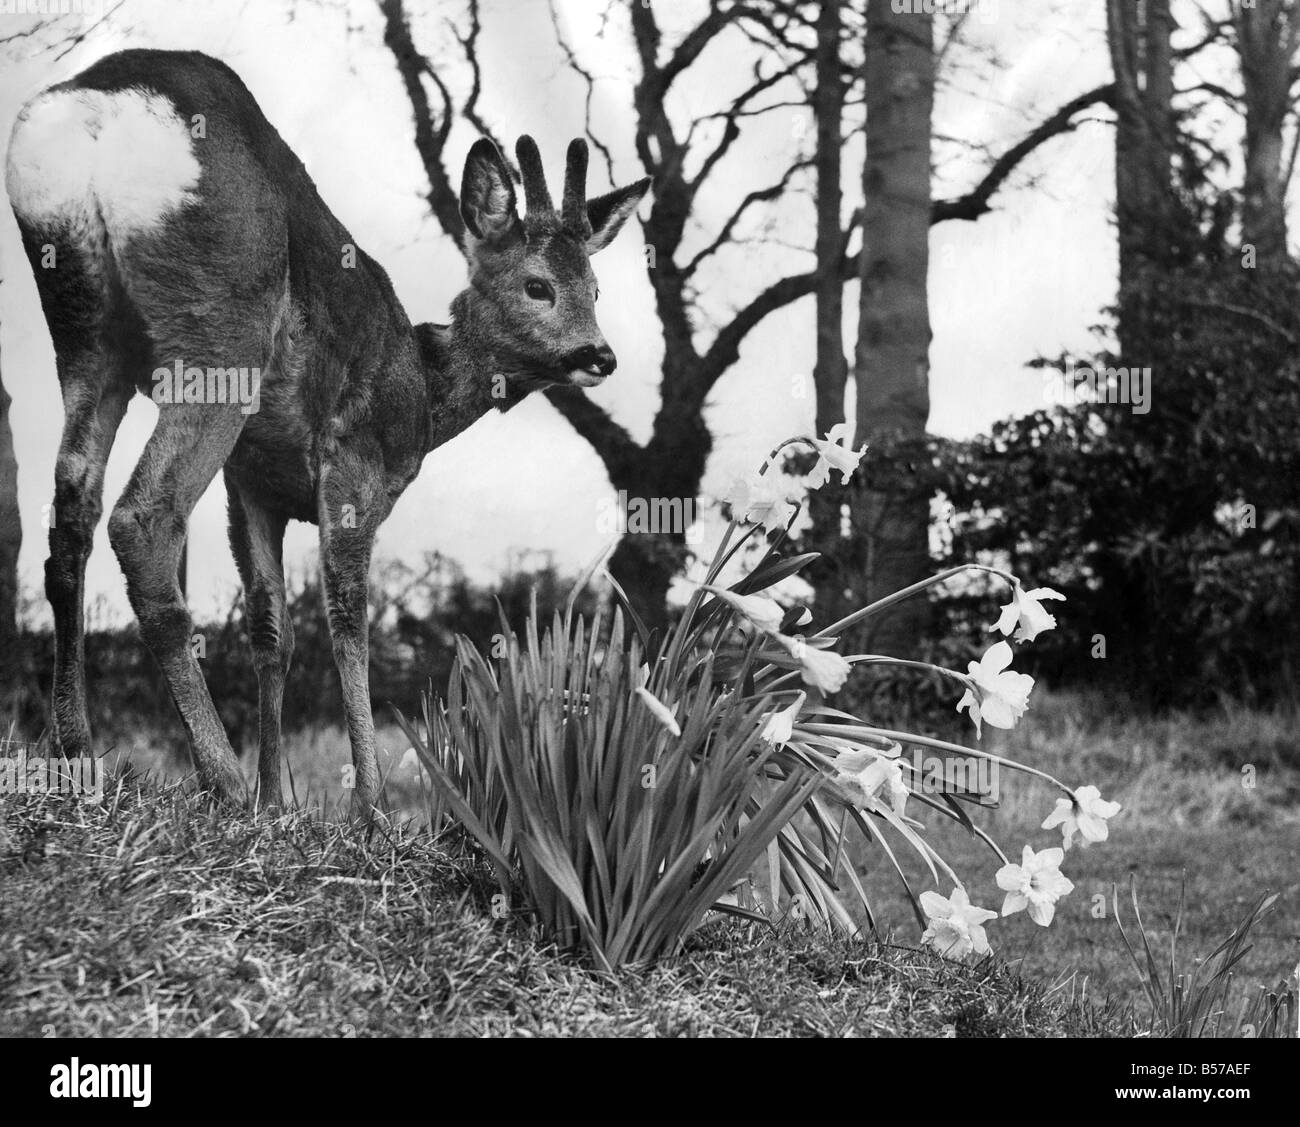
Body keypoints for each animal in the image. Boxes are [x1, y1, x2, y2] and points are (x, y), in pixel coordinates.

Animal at [1, 50, 650, 811]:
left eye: (597, 289)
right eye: (538, 284)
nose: (600, 355)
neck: (424, 392)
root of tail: (96, 102)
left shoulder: (251, 482)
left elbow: (271, 630)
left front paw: (277, 797)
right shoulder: (354, 461)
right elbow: (347, 622)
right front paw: (367, 805)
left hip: (82, 331)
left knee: (71, 513)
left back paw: (77, 751)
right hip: (222, 328)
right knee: (143, 517)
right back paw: (218, 775)